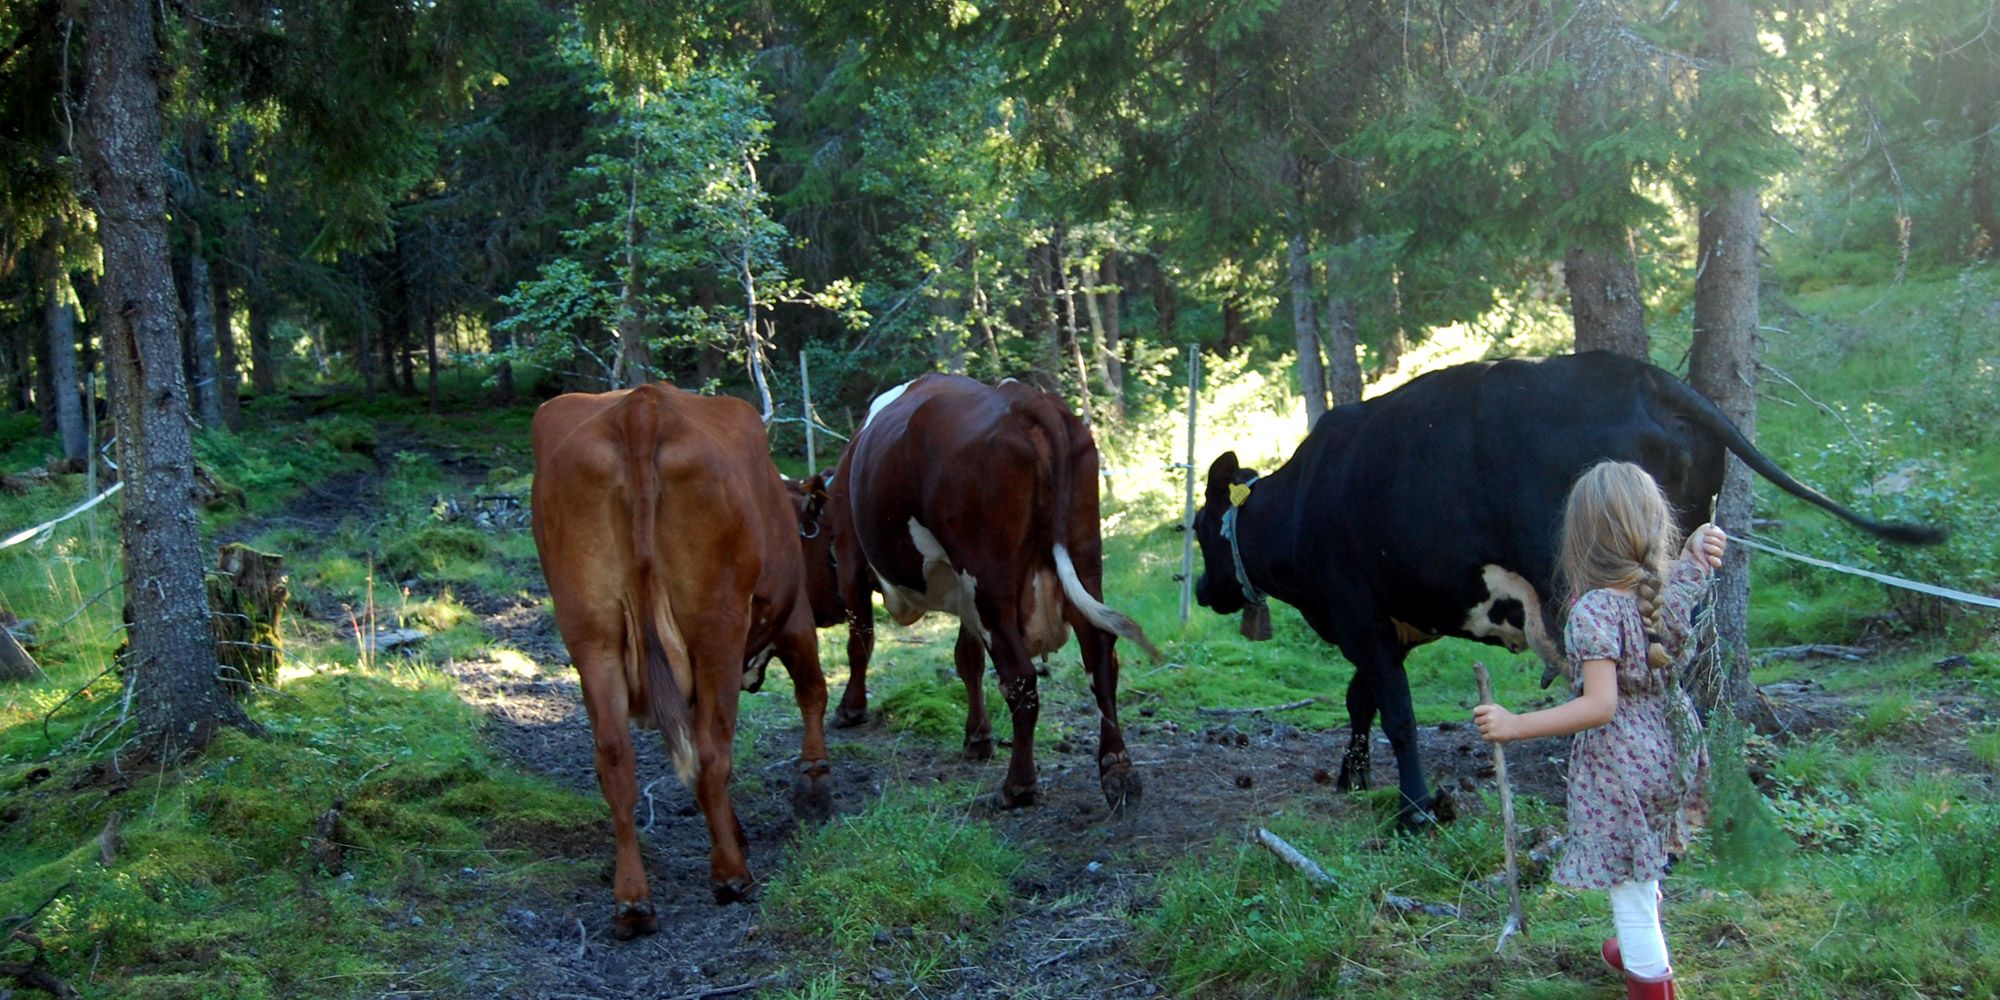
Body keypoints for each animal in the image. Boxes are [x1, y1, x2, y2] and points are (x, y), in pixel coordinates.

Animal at [530, 382, 833, 939]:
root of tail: (642, 405)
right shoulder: (796, 620)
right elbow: (812, 692)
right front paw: (814, 783)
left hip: (591, 634)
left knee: (615, 760)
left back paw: (633, 902)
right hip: (717, 628)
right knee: (713, 751)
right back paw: (730, 875)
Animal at [798, 374, 1161, 811]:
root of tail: (1021, 397)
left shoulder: (852, 561)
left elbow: (860, 643)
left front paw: (851, 709)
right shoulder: (963, 593)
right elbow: (967, 658)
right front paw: (978, 736)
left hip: (988, 579)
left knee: (1021, 678)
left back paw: (1018, 785)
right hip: (1082, 556)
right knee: (1101, 658)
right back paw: (1117, 768)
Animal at [1191, 351, 1944, 828]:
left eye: (1198, 529)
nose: (1201, 590)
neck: (1303, 500)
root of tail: (1647, 377)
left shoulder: (1359, 613)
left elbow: (1397, 713)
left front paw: (1413, 812)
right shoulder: (1395, 623)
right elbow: (1361, 700)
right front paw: (1353, 776)